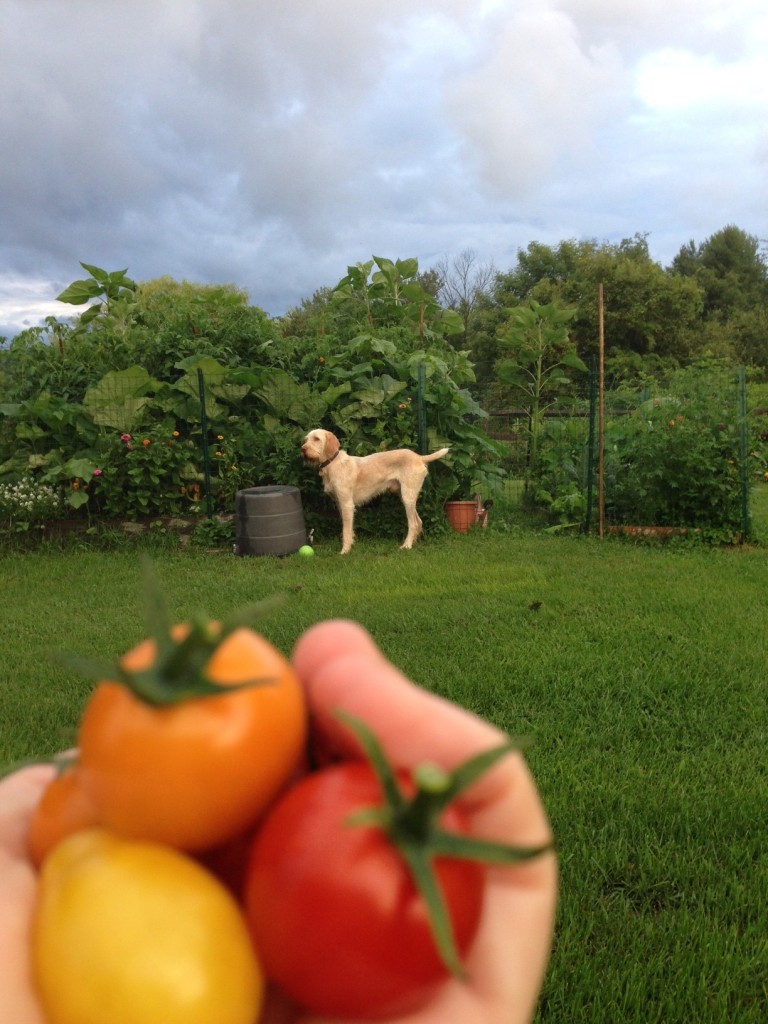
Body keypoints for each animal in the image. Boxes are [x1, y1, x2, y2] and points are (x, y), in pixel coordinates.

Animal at [303, 428, 450, 557]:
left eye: (316, 439)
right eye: (306, 439)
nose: (302, 449)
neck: (332, 463)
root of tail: (418, 457)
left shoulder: (347, 505)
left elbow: (346, 530)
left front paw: (345, 551)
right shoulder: (340, 504)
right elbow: (348, 529)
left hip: (408, 497)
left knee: (413, 523)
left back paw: (406, 546)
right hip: (406, 496)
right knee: (418, 521)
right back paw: (412, 543)